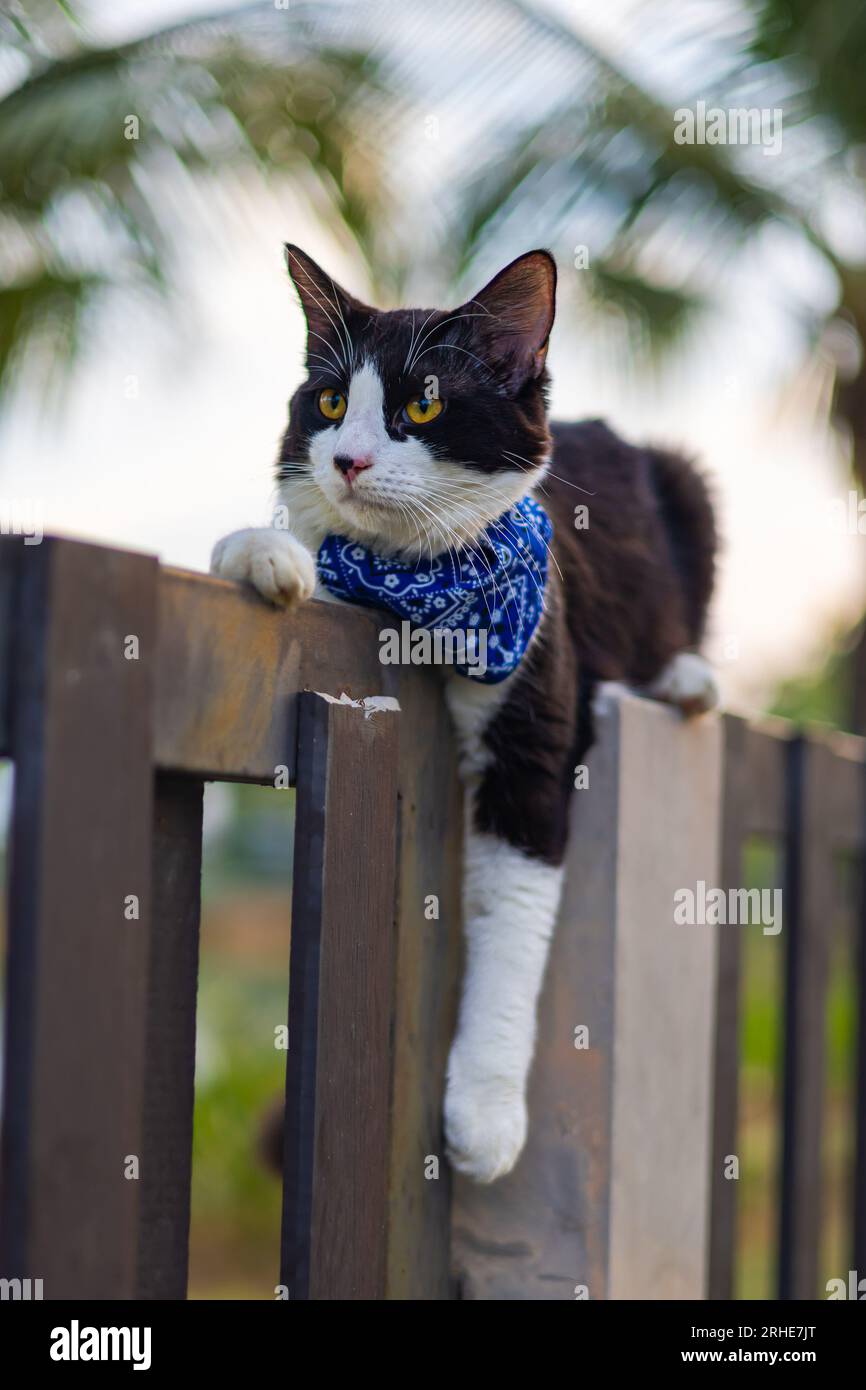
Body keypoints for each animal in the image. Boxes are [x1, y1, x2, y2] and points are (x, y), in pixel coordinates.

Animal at [211, 247, 717, 1184]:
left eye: (423, 402)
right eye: (329, 402)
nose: (349, 461)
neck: (425, 590)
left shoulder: (536, 720)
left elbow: (512, 917)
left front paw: (483, 1114)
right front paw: (263, 555)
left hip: (686, 479)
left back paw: (687, 678)